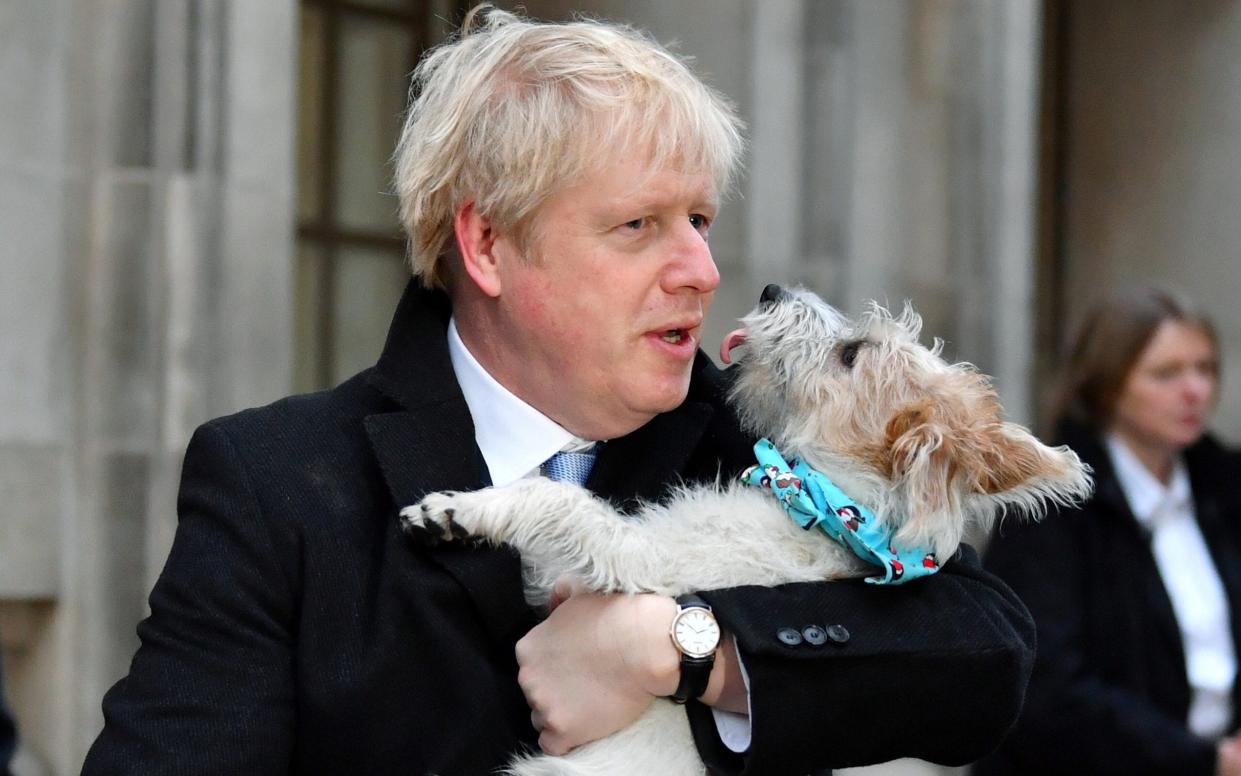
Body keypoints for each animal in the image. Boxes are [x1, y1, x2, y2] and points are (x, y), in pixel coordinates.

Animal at [402, 284, 1092, 774]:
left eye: (851, 355)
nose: (769, 290)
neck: (828, 507)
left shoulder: (629, 561)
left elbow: (559, 500)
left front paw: (455, 511)